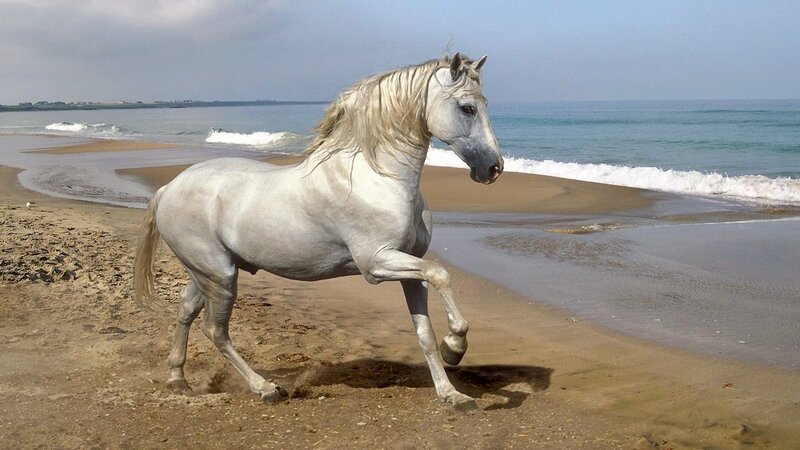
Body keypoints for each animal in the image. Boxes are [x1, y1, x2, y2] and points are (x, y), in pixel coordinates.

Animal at [133, 53, 503, 409]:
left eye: (485, 103)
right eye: (467, 107)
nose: (493, 167)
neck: (377, 177)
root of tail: (168, 188)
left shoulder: (410, 269)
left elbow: (425, 332)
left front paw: (452, 394)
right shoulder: (376, 264)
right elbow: (442, 274)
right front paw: (455, 346)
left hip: (207, 273)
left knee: (186, 311)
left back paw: (178, 379)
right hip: (220, 276)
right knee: (215, 330)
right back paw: (266, 388)